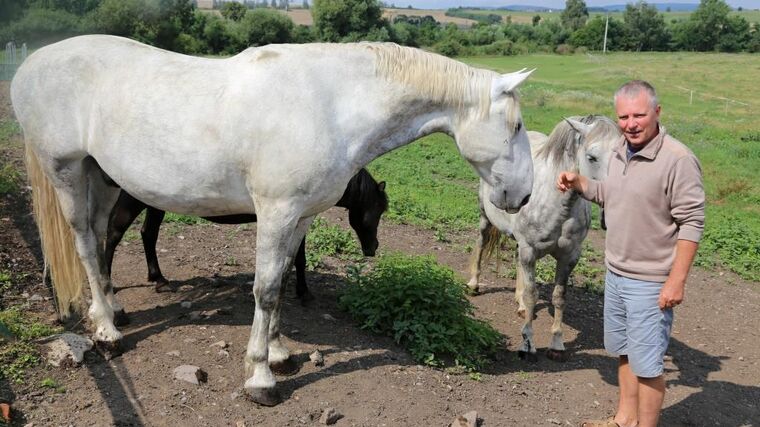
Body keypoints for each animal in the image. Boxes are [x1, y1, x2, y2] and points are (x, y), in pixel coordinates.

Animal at [105, 168, 386, 304]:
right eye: (379, 209)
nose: (373, 248)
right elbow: (300, 259)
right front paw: (304, 293)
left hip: (154, 203)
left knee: (148, 234)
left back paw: (159, 279)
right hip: (133, 201)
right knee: (113, 234)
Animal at [466, 116, 620, 362]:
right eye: (592, 157)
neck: (559, 204)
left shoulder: (569, 257)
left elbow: (559, 297)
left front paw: (556, 344)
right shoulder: (530, 250)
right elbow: (532, 294)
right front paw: (527, 344)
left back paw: (519, 305)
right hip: (485, 218)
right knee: (481, 243)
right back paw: (474, 284)